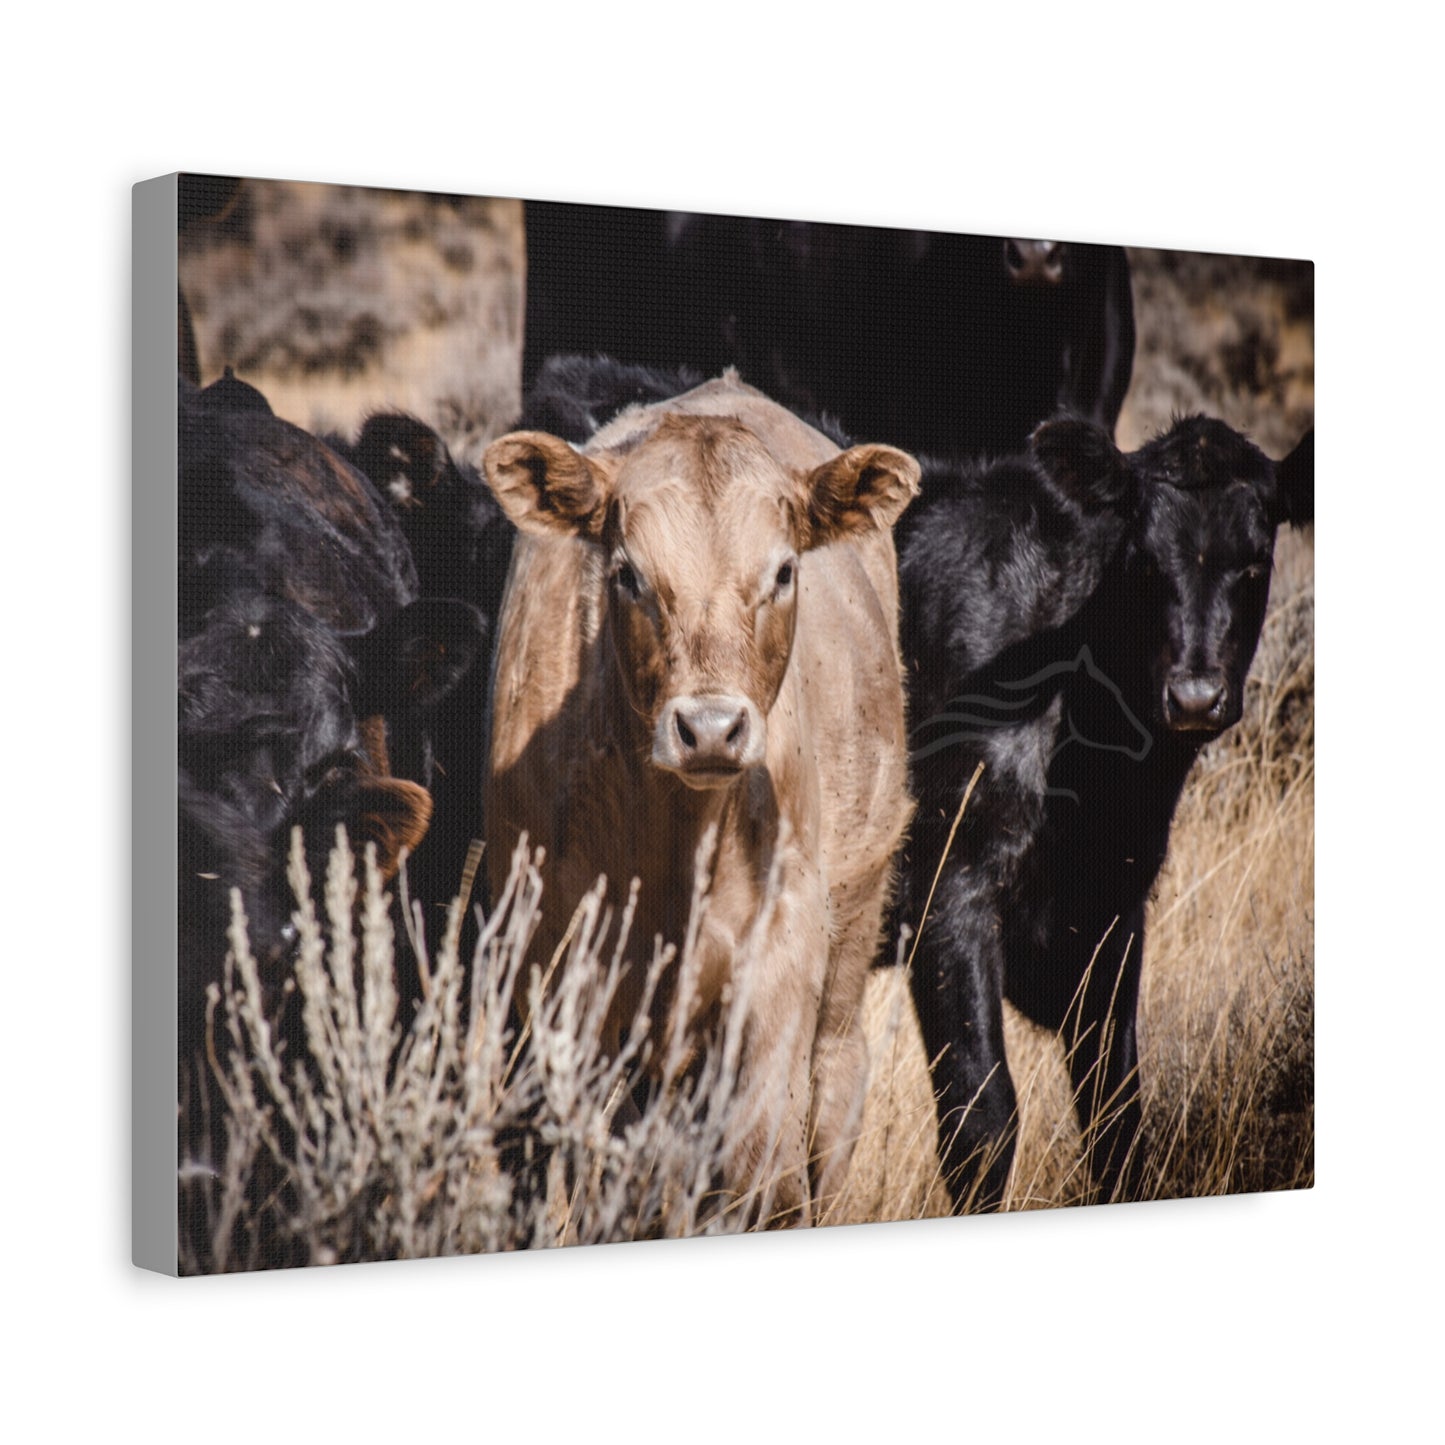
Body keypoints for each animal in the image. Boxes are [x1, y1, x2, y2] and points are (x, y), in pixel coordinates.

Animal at [481, 373, 919, 1223]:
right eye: (628, 573)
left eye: (782, 571)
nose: (710, 728)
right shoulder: (559, 973)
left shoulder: (779, 959)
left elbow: (761, 1175)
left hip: (851, 932)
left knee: (831, 1092)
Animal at [896, 415, 1314, 1209]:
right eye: (1143, 560)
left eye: (1255, 561)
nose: (1194, 696)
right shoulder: (948, 888)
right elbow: (982, 1121)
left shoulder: (1115, 908)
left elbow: (1115, 1118)